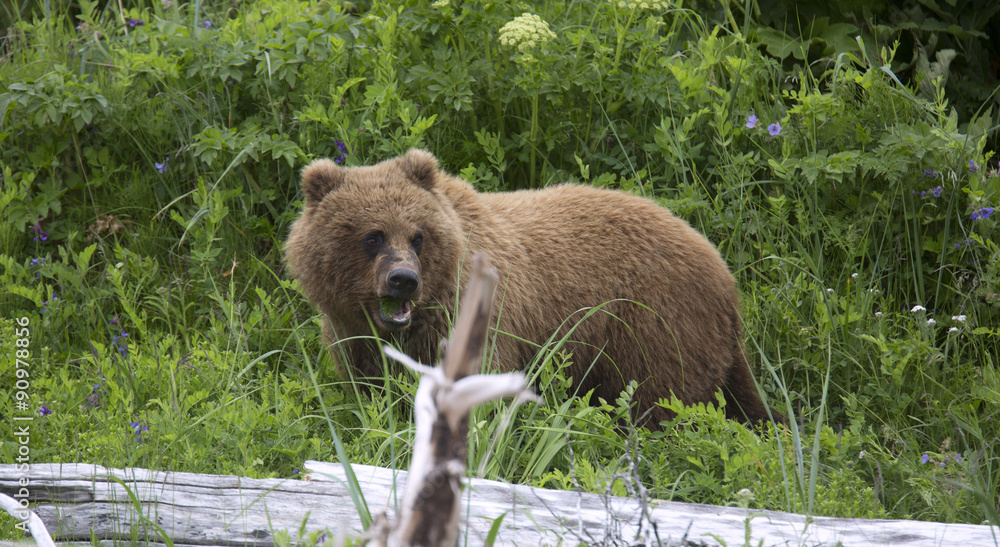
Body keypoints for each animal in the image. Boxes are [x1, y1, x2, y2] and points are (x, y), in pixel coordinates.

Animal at [284, 149, 785, 427]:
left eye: (418, 235)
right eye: (372, 236)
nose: (403, 280)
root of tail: (725, 274)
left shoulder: (477, 318)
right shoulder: (353, 336)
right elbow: (368, 389)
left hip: (656, 326)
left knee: (662, 401)